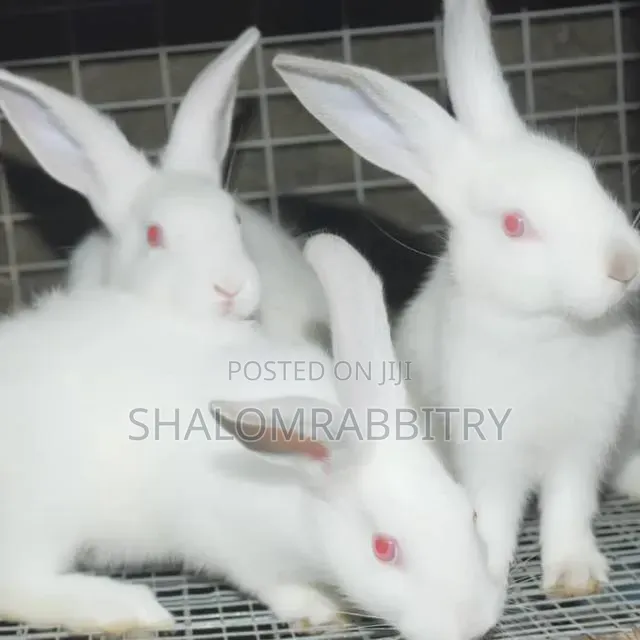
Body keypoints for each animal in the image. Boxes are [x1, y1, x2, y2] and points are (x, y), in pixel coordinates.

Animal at [270, 0, 640, 599]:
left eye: (588, 175)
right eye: (514, 225)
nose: (623, 267)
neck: (550, 330)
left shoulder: (582, 450)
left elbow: (568, 510)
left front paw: (575, 575)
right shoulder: (491, 454)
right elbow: (497, 512)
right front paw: (489, 565)